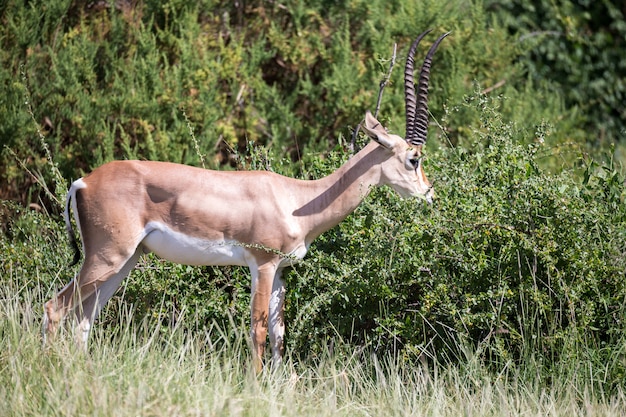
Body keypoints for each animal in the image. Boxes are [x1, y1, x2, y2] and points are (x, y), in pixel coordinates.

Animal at [41, 30, 446, 370]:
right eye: (414, 158)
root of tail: (82, 182)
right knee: (55, 307)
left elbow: (280, 334)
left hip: (126, 261)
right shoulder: (261, 264)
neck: (296, 200)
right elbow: (259, 331)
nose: (429, 194)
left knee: (84, 317)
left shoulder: (281, 270)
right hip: (108, 256)